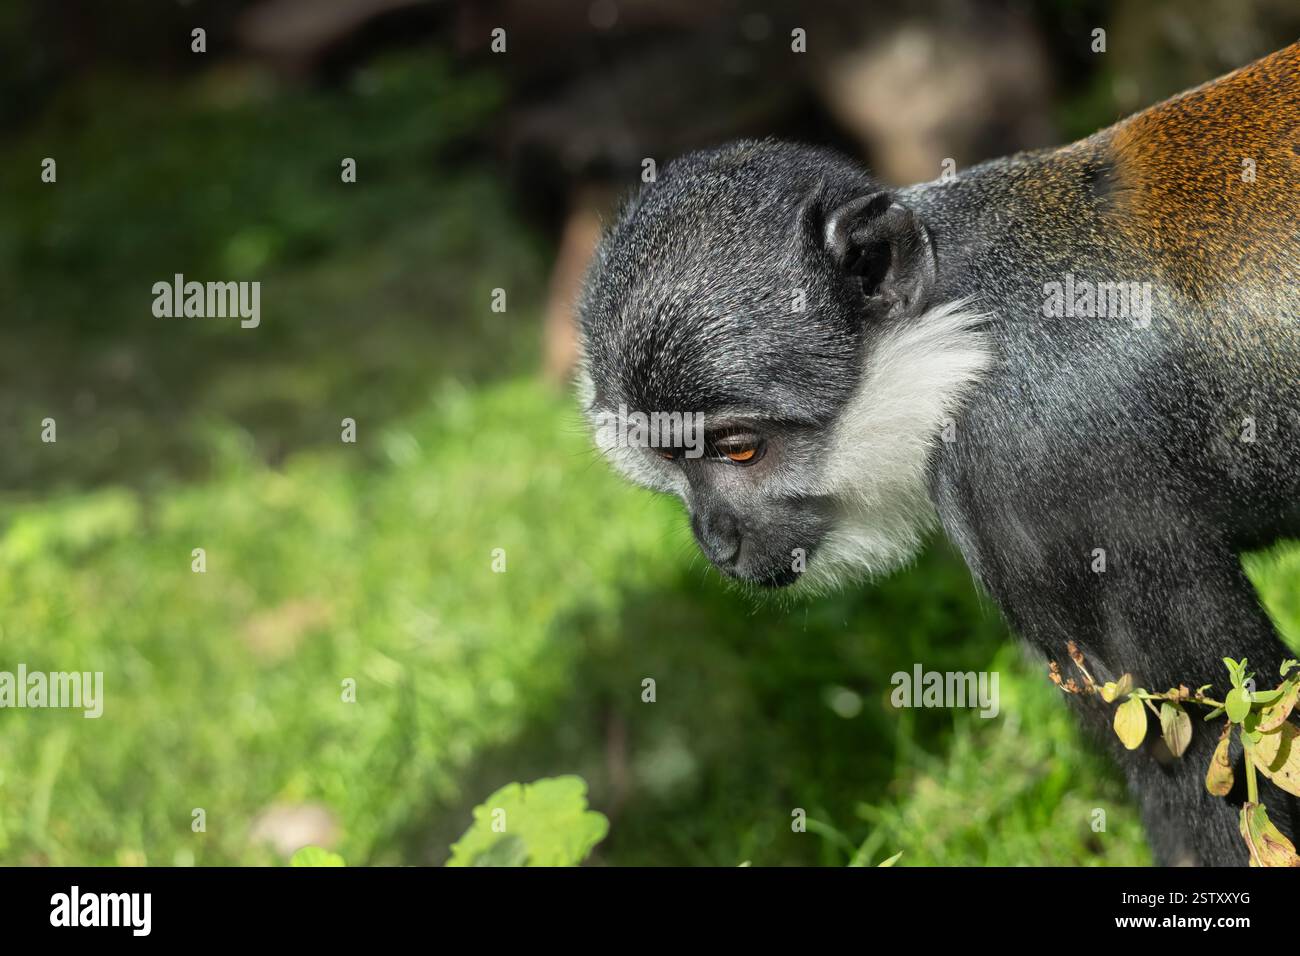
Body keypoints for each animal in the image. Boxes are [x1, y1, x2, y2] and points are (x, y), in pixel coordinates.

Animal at [576, 42, 1300, 866]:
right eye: (670, 463)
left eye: (737, 450)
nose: (716, 541)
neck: (960, 325)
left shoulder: (1045, 472)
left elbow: (1217, 743)